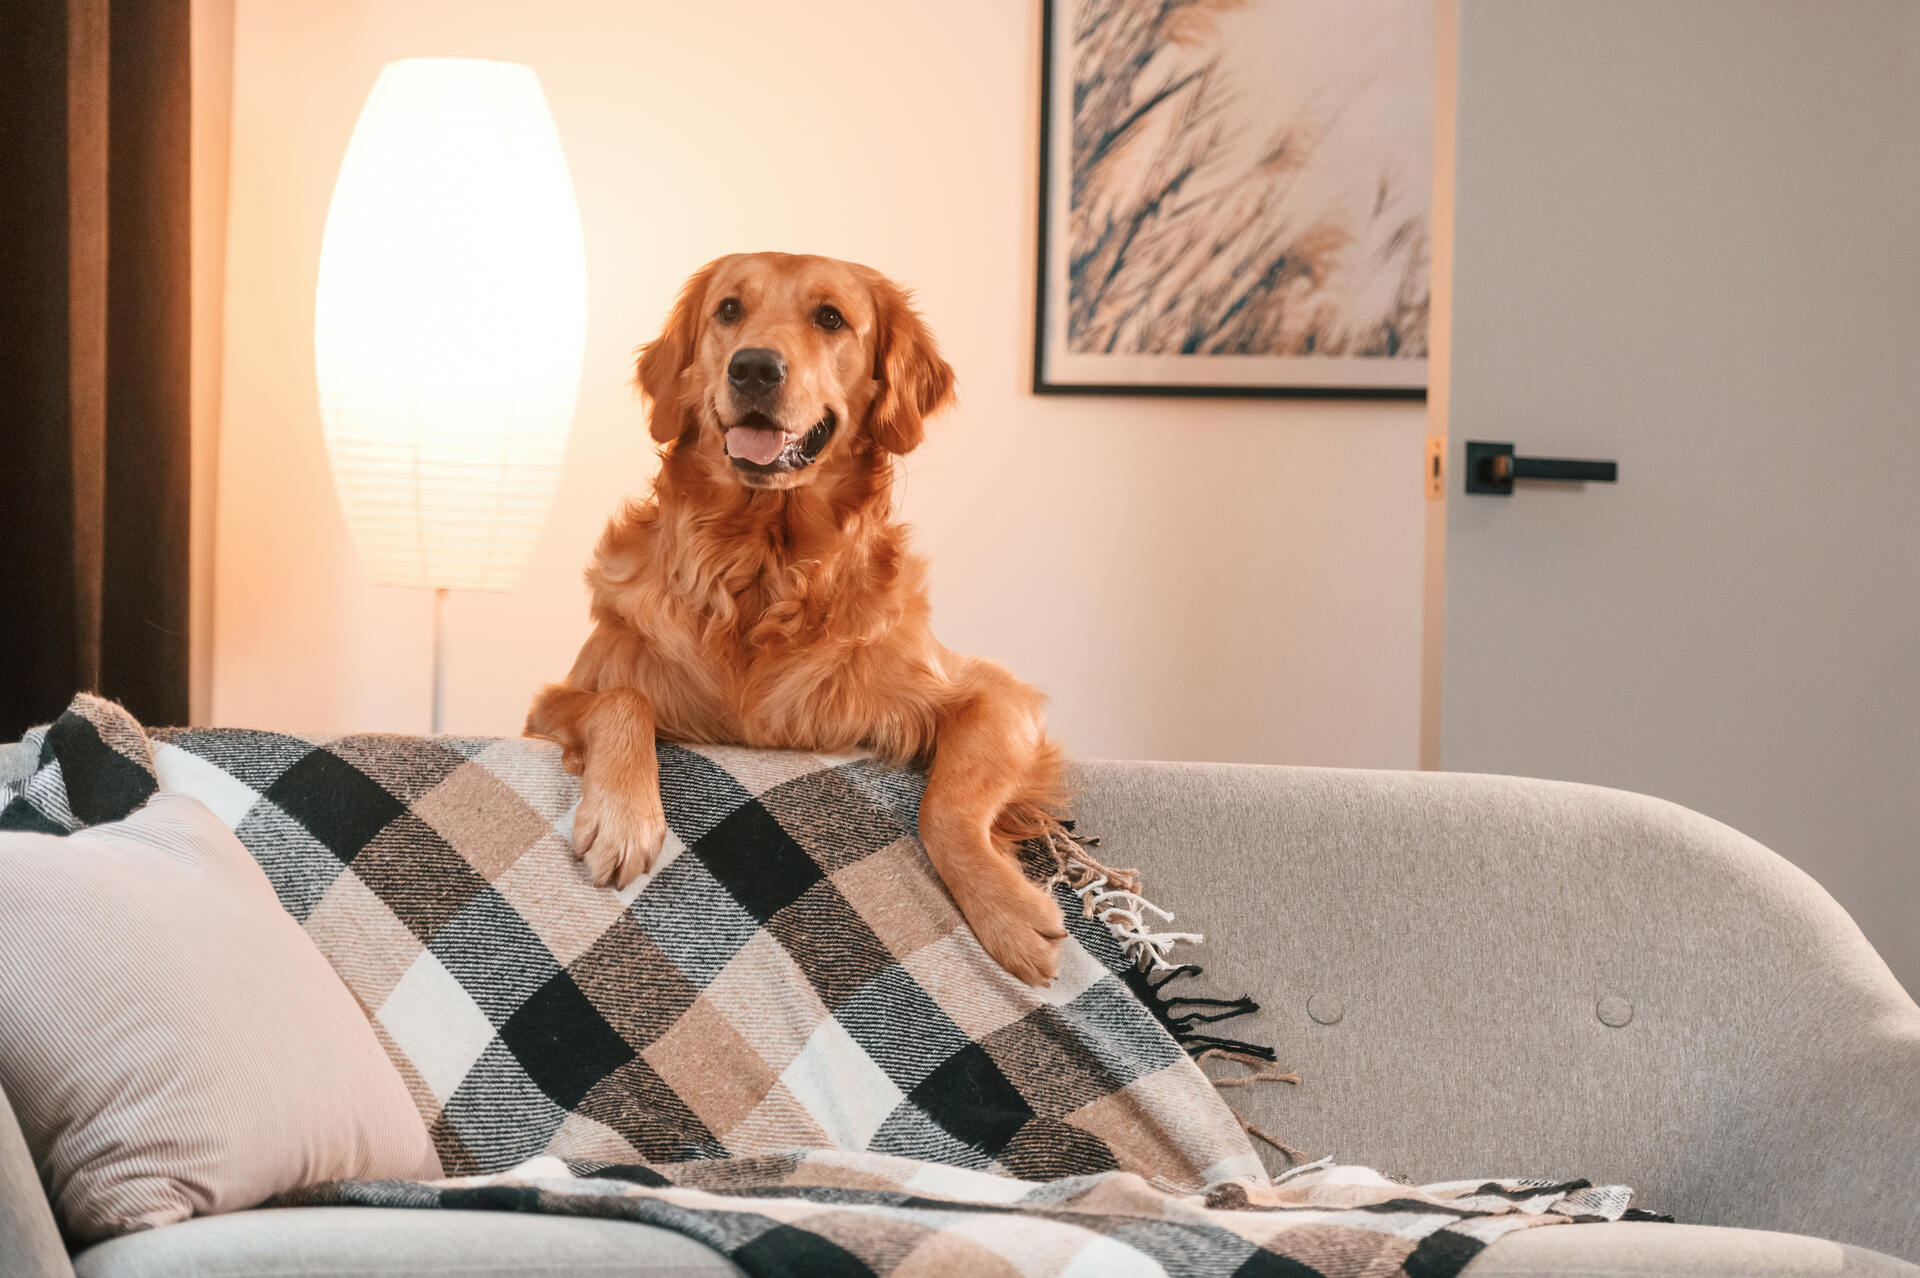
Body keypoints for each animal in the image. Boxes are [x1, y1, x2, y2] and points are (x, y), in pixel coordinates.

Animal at [526, 253, 1067, 978]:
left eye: (831, 318)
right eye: (728, 310)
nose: (754, 368)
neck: (760, 569)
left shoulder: (996, 696)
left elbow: (945, 807)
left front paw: (1007, 915)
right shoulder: (556, 699)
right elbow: (621, 700)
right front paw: (621, 818)